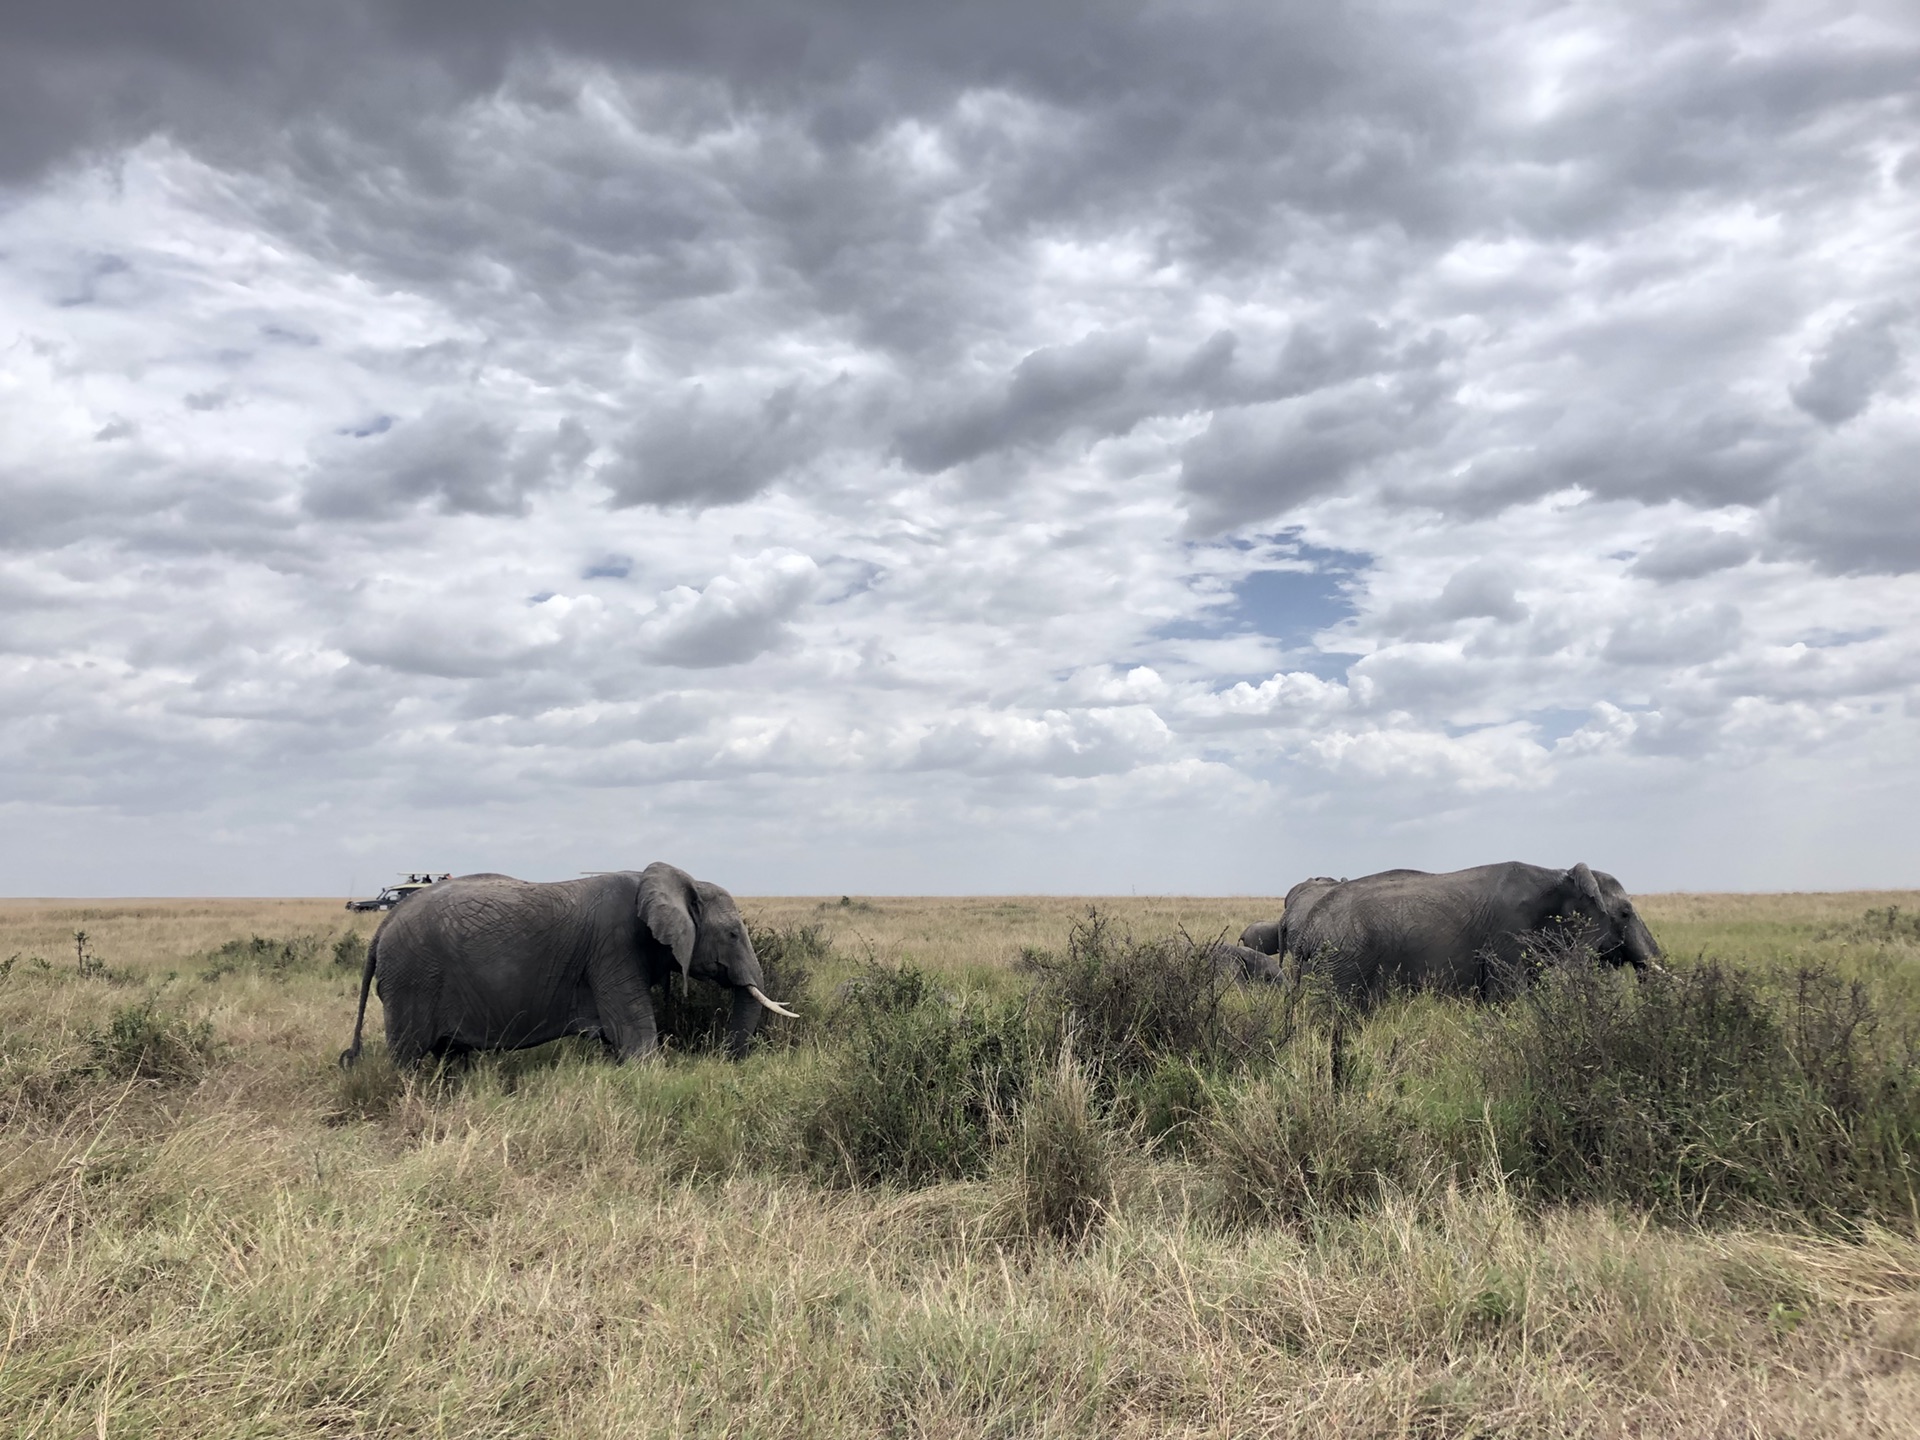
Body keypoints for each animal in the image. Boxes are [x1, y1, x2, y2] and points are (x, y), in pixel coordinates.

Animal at [337, 864, 794, 1067]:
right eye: (733, 934)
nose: (726, 1061)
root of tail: (383, 926)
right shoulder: (613, 948)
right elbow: (634, 1035)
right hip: (412, 979)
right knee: (409, 1058)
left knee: (451, 1057)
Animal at [1274, 867, 1666, 1006]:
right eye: (1625, 913)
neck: (1560, 874)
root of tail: (1308, 928)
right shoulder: (1508, 936)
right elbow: (1508, 1000)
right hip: (1343, 961)